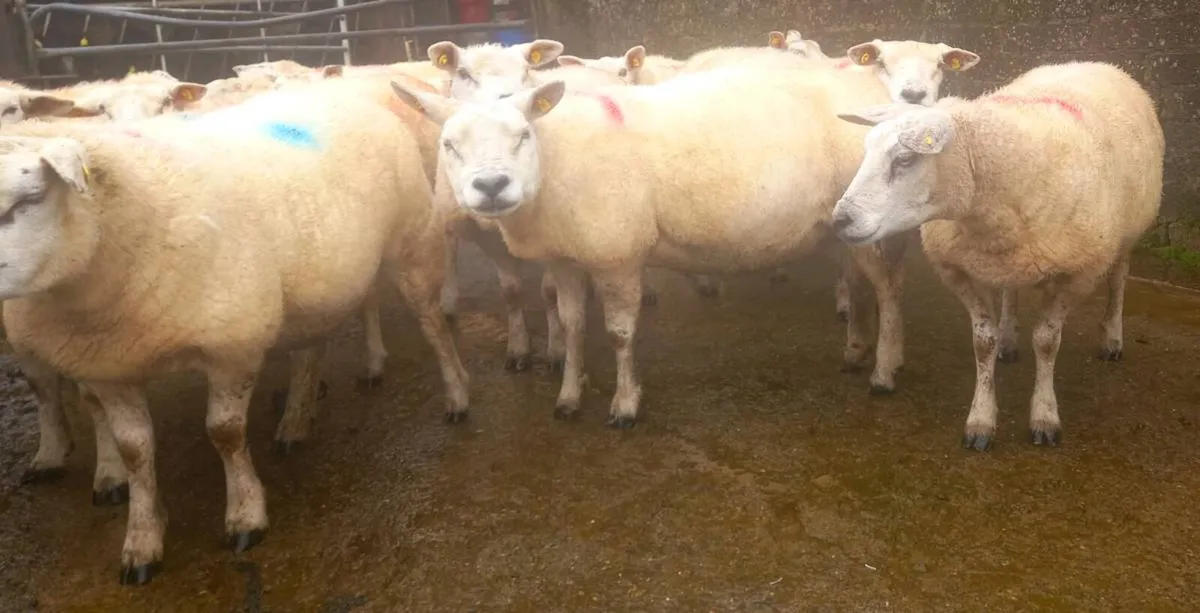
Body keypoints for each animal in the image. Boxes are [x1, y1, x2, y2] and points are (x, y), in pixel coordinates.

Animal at [0, 75, 470, 584]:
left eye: (31, 198)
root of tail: (335, 88)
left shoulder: (232, 344)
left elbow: (224, 432)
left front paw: (245, 516)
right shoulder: (110, 367)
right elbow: (134, 451)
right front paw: (142, 539)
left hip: (411, 242)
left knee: (432, 325)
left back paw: (456, 394)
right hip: (314, 284)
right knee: (310, 351)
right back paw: (295, 421)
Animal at [390, 59, 915, 428]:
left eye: (521, 135)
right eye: (448, 145)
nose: (492, 185)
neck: (555, 158)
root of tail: (874, 94)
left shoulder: (617, 254)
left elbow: (620, 334)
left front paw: (625, 405)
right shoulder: (566, 255)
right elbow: (572, 324)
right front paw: (568, 396)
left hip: (870, 220)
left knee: (889, 290)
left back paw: (885, 370)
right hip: (841, 229)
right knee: (859, 284)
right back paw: (855, 350)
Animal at [830, 61, 1163, 450]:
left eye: (905, 159)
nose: (840, 220)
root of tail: (1091, 64)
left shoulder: (1077, 274)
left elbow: (1047, 342)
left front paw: (1044, 416)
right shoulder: (958, 269)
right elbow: (982, 343)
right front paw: (981, 420)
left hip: (1128, 229)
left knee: (1119, 279)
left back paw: (1112, 338)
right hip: (1006, 259)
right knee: (1010, 290)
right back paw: (1008, 339)